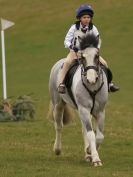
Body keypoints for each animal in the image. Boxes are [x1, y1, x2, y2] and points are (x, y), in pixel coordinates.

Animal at [48, 34, 108, 167]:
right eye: (83, 57)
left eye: (97, 56)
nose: (91, 78)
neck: (92, 87)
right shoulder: (84, 109)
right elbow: (91, 134)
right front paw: (95, 159)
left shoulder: (100, 111)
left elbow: (99, 136)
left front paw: (90, 152)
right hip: (58, 105)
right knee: (58, 126)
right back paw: (57, 149)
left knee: (83, 129)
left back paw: (87, 154)